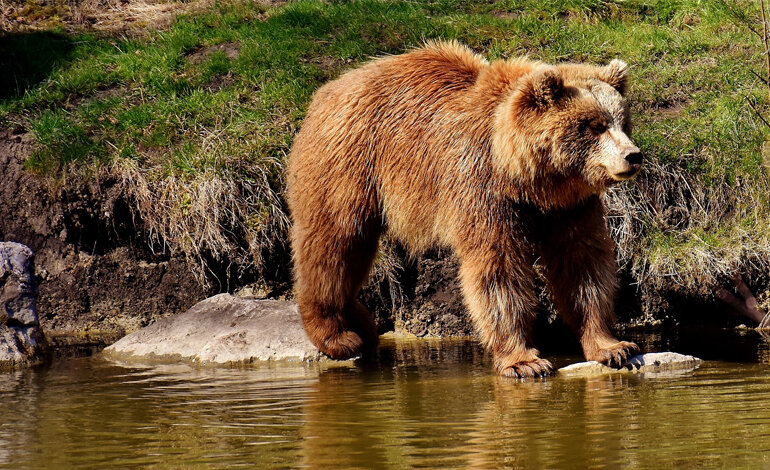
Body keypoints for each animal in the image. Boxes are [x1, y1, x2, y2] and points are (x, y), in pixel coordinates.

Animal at [284, 41, 640, 378]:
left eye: (623, 121)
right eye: (593, 125)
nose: (632, 155)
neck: (527, 179)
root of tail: (325, 92)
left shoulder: (569, 206)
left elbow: (582, 265)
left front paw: (613, 346)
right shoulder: (482, 188)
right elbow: (498, 270)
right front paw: (524, 360)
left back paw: (362, 325)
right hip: (348, 166)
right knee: (334, 244)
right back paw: (336, 335)